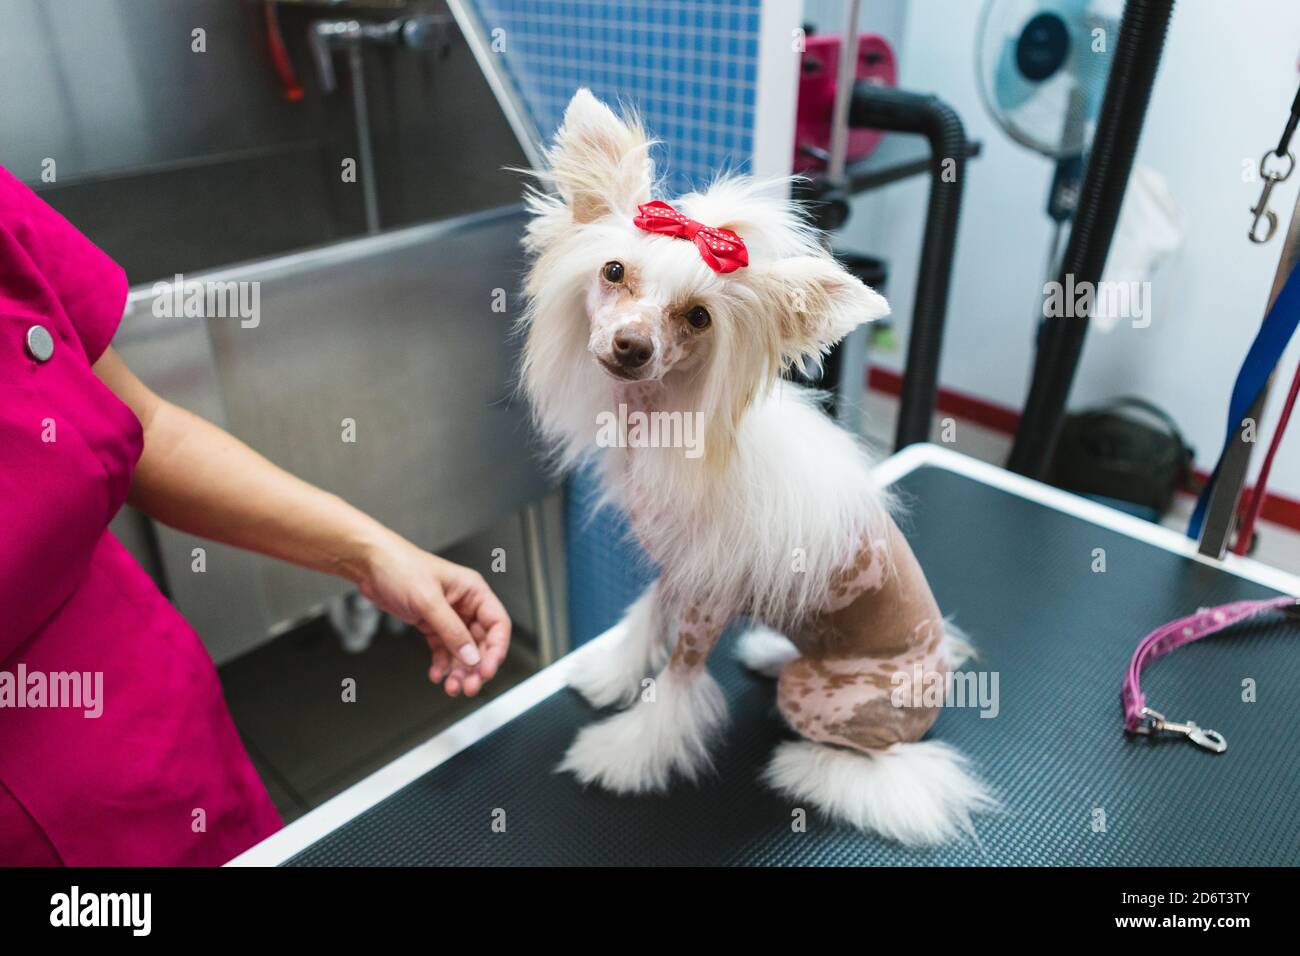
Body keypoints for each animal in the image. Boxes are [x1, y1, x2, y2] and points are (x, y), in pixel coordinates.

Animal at [517, 91, 993, 842]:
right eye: (614, 272)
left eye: (699, 317)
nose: (631, 347)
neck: (661, 416)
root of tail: (940, 681)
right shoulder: (681, 565)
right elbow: (647, 613)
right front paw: (612, 670)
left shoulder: (708, 595)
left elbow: (677, 680)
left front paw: (626, 755)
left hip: (827, 702)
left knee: (882, 770)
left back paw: (804, 768)